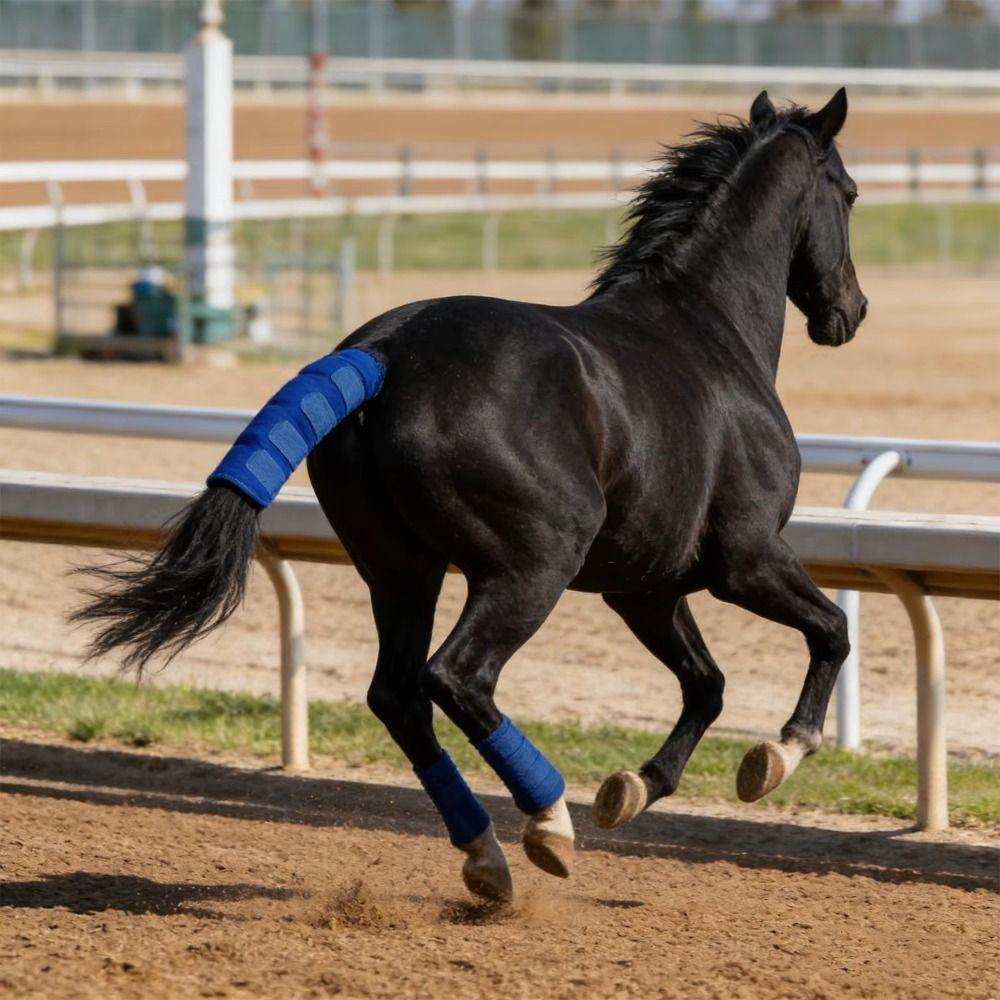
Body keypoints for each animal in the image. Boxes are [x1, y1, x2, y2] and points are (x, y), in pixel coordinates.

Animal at [73, 88, 867, 903]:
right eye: (849, 192)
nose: (851, 311)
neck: (705, 327)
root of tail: (382, 354)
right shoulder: (746, 560)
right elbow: (830, 631)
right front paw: (777, 755)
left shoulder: (644, 587)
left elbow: (706, 684)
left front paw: (635, 787)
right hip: (528, 570)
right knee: (457, 677)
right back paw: (547, 824)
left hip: (400, 573)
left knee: (399, 695)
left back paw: (486, 855)